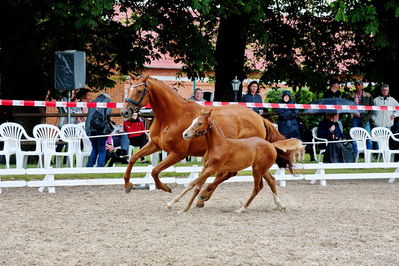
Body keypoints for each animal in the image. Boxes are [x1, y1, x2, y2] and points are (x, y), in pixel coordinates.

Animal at [167, 108, 302, 212]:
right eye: (193, 121)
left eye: (199, 123)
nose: (185, 134)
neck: (218, 145)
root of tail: (271, 144)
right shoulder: (205, 167)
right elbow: (196, 187)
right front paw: (185, 208)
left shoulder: (212, 168)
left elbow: (192, 183)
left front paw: (171, 203)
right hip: (259, 169)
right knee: (270, 181)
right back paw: (279, 205)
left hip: (257, 170)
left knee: (258, 187)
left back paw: (242, 208)